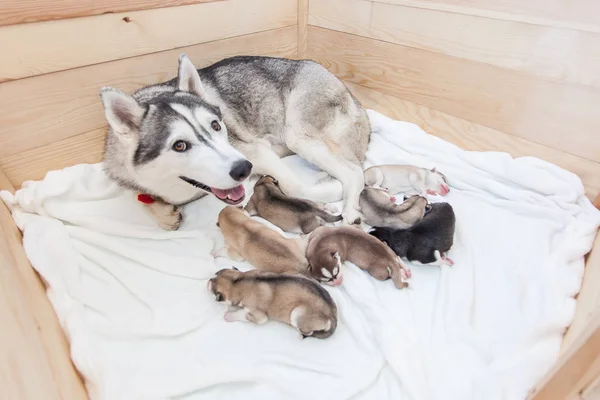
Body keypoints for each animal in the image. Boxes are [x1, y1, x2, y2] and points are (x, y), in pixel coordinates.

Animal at [99, 54, 370, 228]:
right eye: (179, 145)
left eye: (216, 125)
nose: (243, 169)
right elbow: (138, 198)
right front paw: (163, 213)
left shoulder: (256, 151)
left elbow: (294, 186)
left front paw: (331, 190)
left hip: (297, 135)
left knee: (354, 171)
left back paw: (350, 206)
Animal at [207, 268, 338, 340]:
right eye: (216, 274)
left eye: (213, 290)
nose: (208, 280)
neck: (237, 282)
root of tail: (333, 314)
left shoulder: (259, 316)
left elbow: (244, 314)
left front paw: (230, 315)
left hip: (297, 314)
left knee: (308, 331)